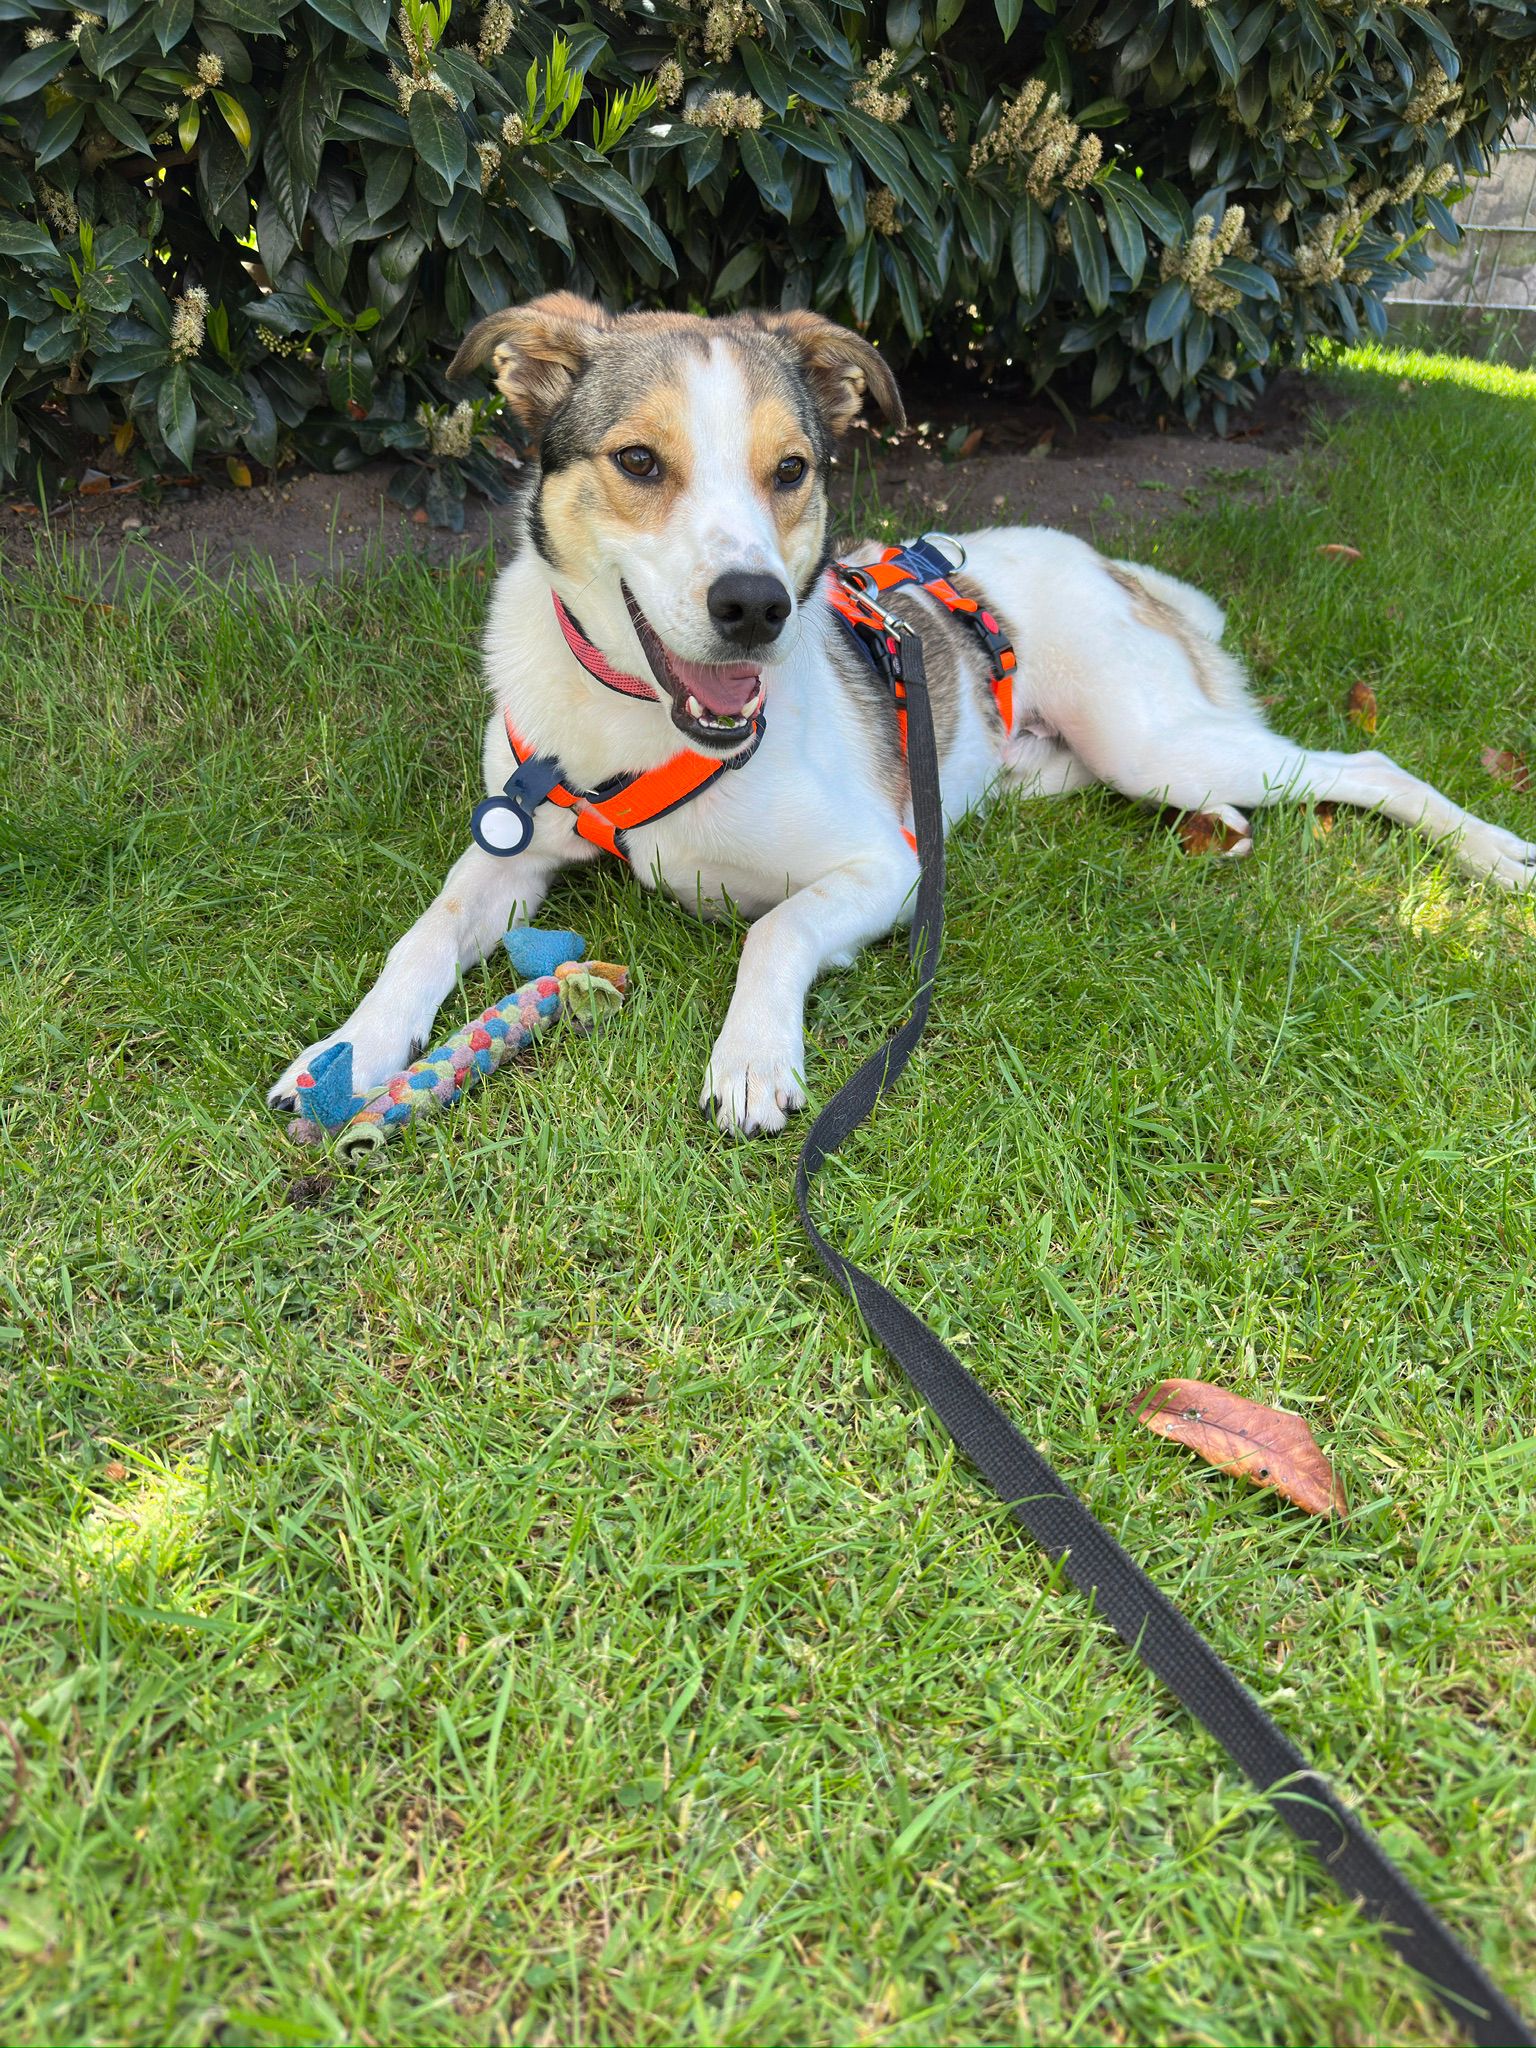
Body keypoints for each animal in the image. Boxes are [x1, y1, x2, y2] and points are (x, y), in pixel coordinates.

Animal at [269, 295, 1536, 1137]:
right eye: (638, 460)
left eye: (791, 469)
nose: (755, 605)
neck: (644, 730)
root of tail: (1102, 558)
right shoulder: (511, 851)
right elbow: (424, 934)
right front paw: (350, 1047)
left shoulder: (887, 864)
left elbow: (775, 931)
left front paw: (752, 1054)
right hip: (1066, 764)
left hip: (1151, 741)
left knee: (1365, 762)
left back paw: (1493, 853)